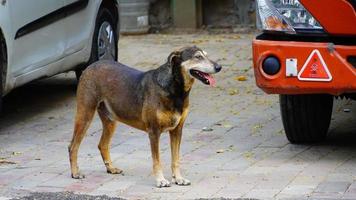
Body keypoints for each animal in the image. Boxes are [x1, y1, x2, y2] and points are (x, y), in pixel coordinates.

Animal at [68, 46, 221, 187]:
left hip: (110, 120)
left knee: (102, 145)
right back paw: (75, 173)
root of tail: (90, 67)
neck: (174, 88)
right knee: (73, 146)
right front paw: (160, 180)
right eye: (197, 57)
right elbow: (157, 160)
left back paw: (111, 168)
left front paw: (178, 178)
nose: (219, 67)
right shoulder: (154, 132)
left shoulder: (177, 130)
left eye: (206, 55)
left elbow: (175, 159)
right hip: (85, 114)